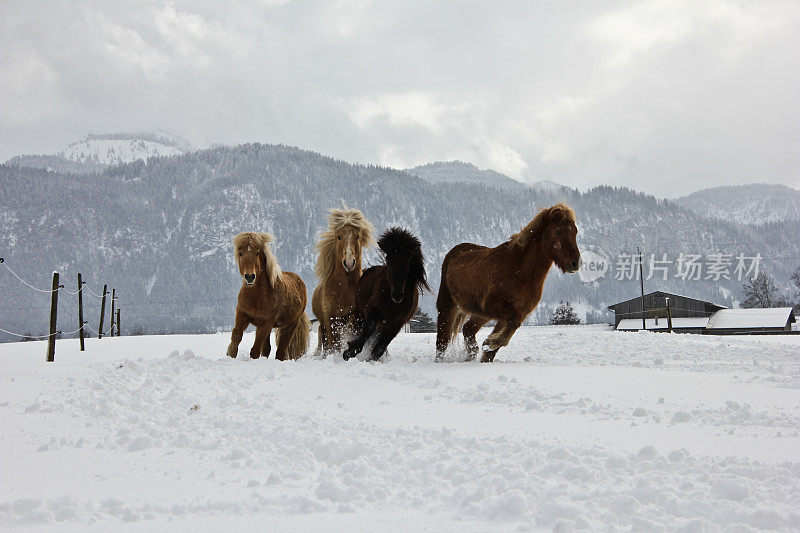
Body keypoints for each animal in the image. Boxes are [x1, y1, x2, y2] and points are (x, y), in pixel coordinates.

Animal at [228, 231, 312, 360]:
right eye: (240, 253)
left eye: (257, 253)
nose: (250, 277)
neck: (257, 296)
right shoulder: (242, 315)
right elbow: (236, 339)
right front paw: (229, 355)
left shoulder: (266, 324)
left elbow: (255, 351)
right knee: (267, 349)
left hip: (290, 325)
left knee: (281, 351)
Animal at [310, 206, 376, 356]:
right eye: (339, 236)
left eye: (357, 236)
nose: (349, 263)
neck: (343, 289)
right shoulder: (331, 319)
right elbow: (334, 344)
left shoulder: (353, 317)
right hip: (323, 325)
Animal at [344, 227, 432, 360]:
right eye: (388, 260)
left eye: (408, 263)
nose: (397, 295)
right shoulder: (373, 310)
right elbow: (368, 329)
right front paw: (350, 351)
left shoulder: (397, 323)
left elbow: (382, 345)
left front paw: (372, 358)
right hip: (360, 312)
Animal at [434, 203, 580, 362]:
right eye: (558, 231)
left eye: (575, 232)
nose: (575, 263)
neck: (520, 272)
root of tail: (454, 252)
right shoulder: (497, 307)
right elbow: (513, 323)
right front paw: (492, 341)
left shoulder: (517, 312)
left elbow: (498, 344)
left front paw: (489, 344)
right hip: (448, 307)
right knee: (442, 342)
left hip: (481, 314)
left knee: (468, 330)